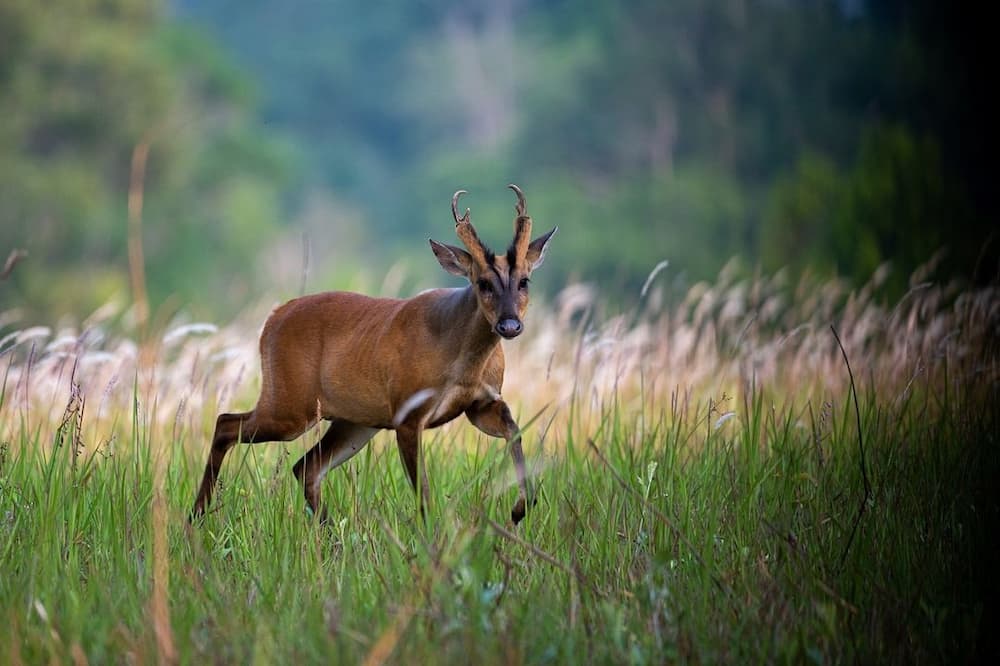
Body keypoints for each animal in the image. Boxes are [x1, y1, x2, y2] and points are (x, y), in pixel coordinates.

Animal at [189, 183, 556, 524]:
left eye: (524, 281)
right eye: (482, 283)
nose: (510, 325)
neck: (462, 362)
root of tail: (272, 318)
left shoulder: (481, 404)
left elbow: (515, 431)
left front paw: (519, 509)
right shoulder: (407, 412)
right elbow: (423, 495)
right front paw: (432, 541)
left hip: (353, 420)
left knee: (306, 466)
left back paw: (329, 534)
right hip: (290, 403)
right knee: (226, 424)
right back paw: (196, 516)